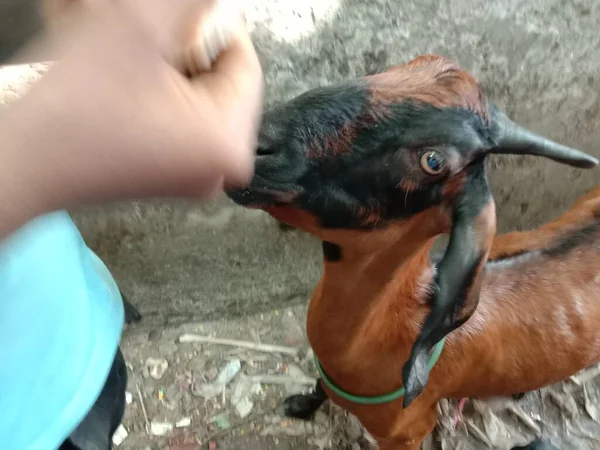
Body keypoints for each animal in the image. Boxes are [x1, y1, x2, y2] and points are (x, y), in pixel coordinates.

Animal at [227, 54, 596, 448]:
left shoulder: (406, 432)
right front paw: (300, 405)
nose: (253, 139)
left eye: (432, 162)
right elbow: (318, 388)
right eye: (394, 70)